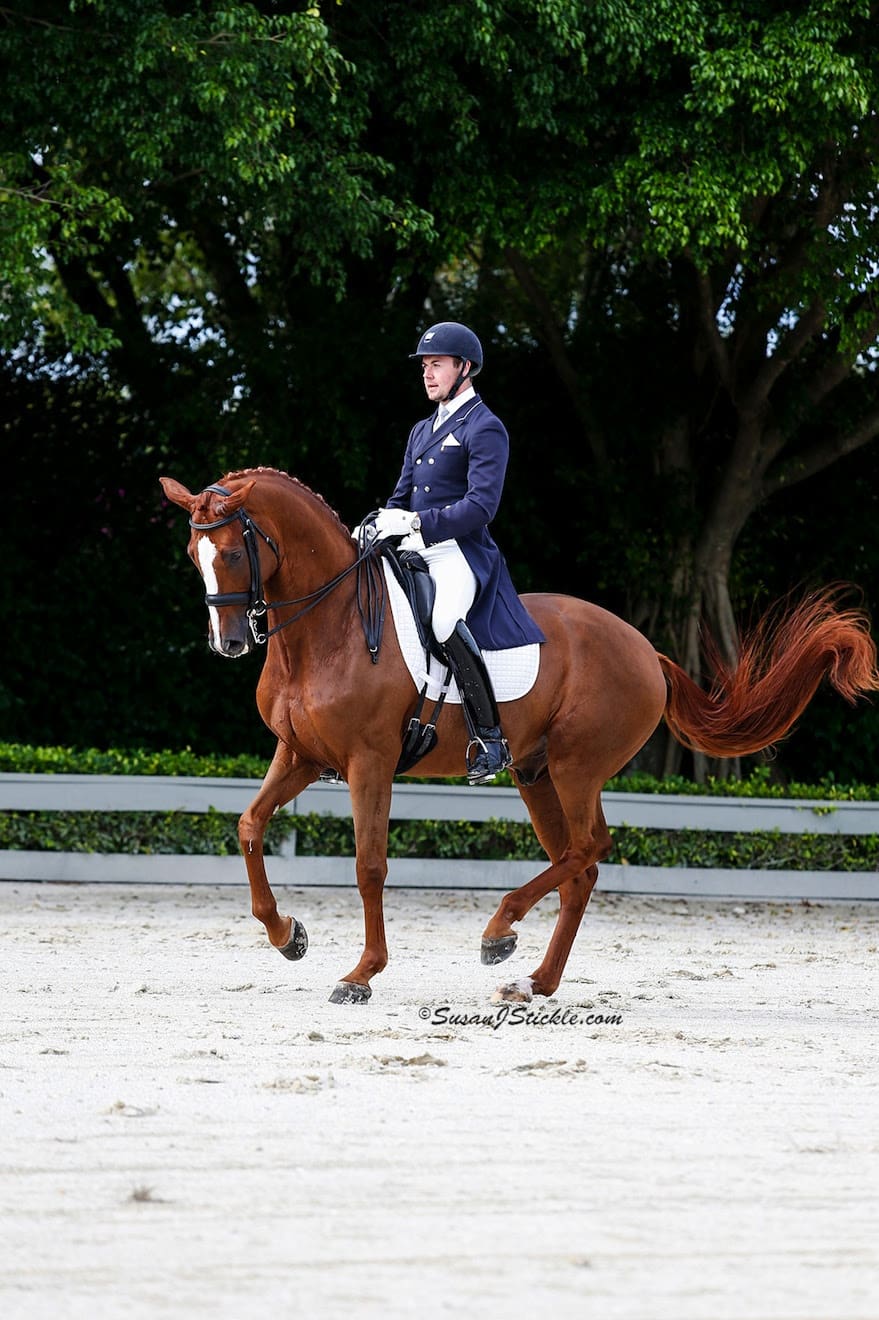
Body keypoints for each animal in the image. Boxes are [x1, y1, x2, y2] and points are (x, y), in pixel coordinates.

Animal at [159, 467, 879, 1004]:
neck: (328, 626)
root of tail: (646, 650)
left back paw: (499, 931)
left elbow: (368, 865)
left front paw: (361, 974)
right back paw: (533, 980)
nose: (228, 642)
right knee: (579, 867)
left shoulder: (370, 762)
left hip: (575, 767)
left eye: (231, 552)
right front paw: (288, 935)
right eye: (191, 556)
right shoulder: (303, 756)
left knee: (586, 849)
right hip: (536, 774)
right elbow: (249, 826)